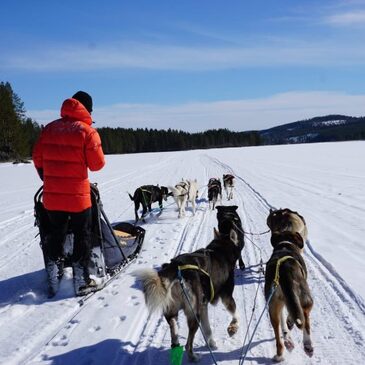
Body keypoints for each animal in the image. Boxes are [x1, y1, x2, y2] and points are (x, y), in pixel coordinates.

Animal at [134, 229, 242, 360]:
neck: (220, 249)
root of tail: (176, 268)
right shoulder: (227, 297)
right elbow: (236, 314)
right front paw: (233, 327)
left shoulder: (203, 305)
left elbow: (207, 329)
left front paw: (211, 342)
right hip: (194, 314)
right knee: (188, 345)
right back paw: (193, 357)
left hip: (174, 311)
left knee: (174, 331)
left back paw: (176, 345)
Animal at [264, 232, 312, 360]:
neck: (285, 244)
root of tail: (284, 272)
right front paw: (290, 322)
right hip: (306, 298)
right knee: (305, 320)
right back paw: (307, 345)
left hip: (273, 306)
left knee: (278, 333)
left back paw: (281, 354)